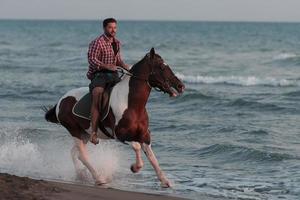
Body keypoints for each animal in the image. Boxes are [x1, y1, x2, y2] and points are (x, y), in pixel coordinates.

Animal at [44, 48, 185, 188]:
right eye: (161, 67)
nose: (180, 86)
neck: (132, 105)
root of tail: (61, 101)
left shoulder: (144, 136)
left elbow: (153, 158)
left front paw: (165, 181)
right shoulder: (120, 135)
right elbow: (137, 147)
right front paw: (135, 167)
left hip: (84, 134)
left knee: (75, 153)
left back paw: (81, 175)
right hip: (75, 131)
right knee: (82, 156)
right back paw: (99, 178)